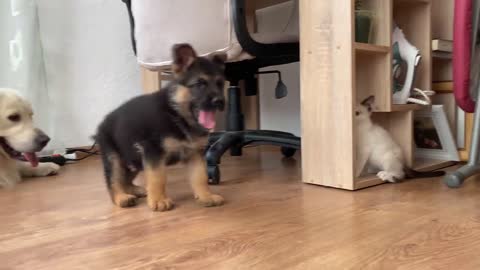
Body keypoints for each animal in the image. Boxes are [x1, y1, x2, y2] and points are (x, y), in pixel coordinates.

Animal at [97, 43, 227, 211]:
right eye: (200, 84)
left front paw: (206, 196)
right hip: (115, 158)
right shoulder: (154, 152)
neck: (177, 114)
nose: (219, 101)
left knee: (126, 178)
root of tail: (102, 123)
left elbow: (200, 177)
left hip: (132, 159)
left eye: (220, 84)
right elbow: (157, 177)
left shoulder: (195, 154)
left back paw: (135, 190)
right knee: (114, 180)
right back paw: (121, 197)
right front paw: (158, 200)